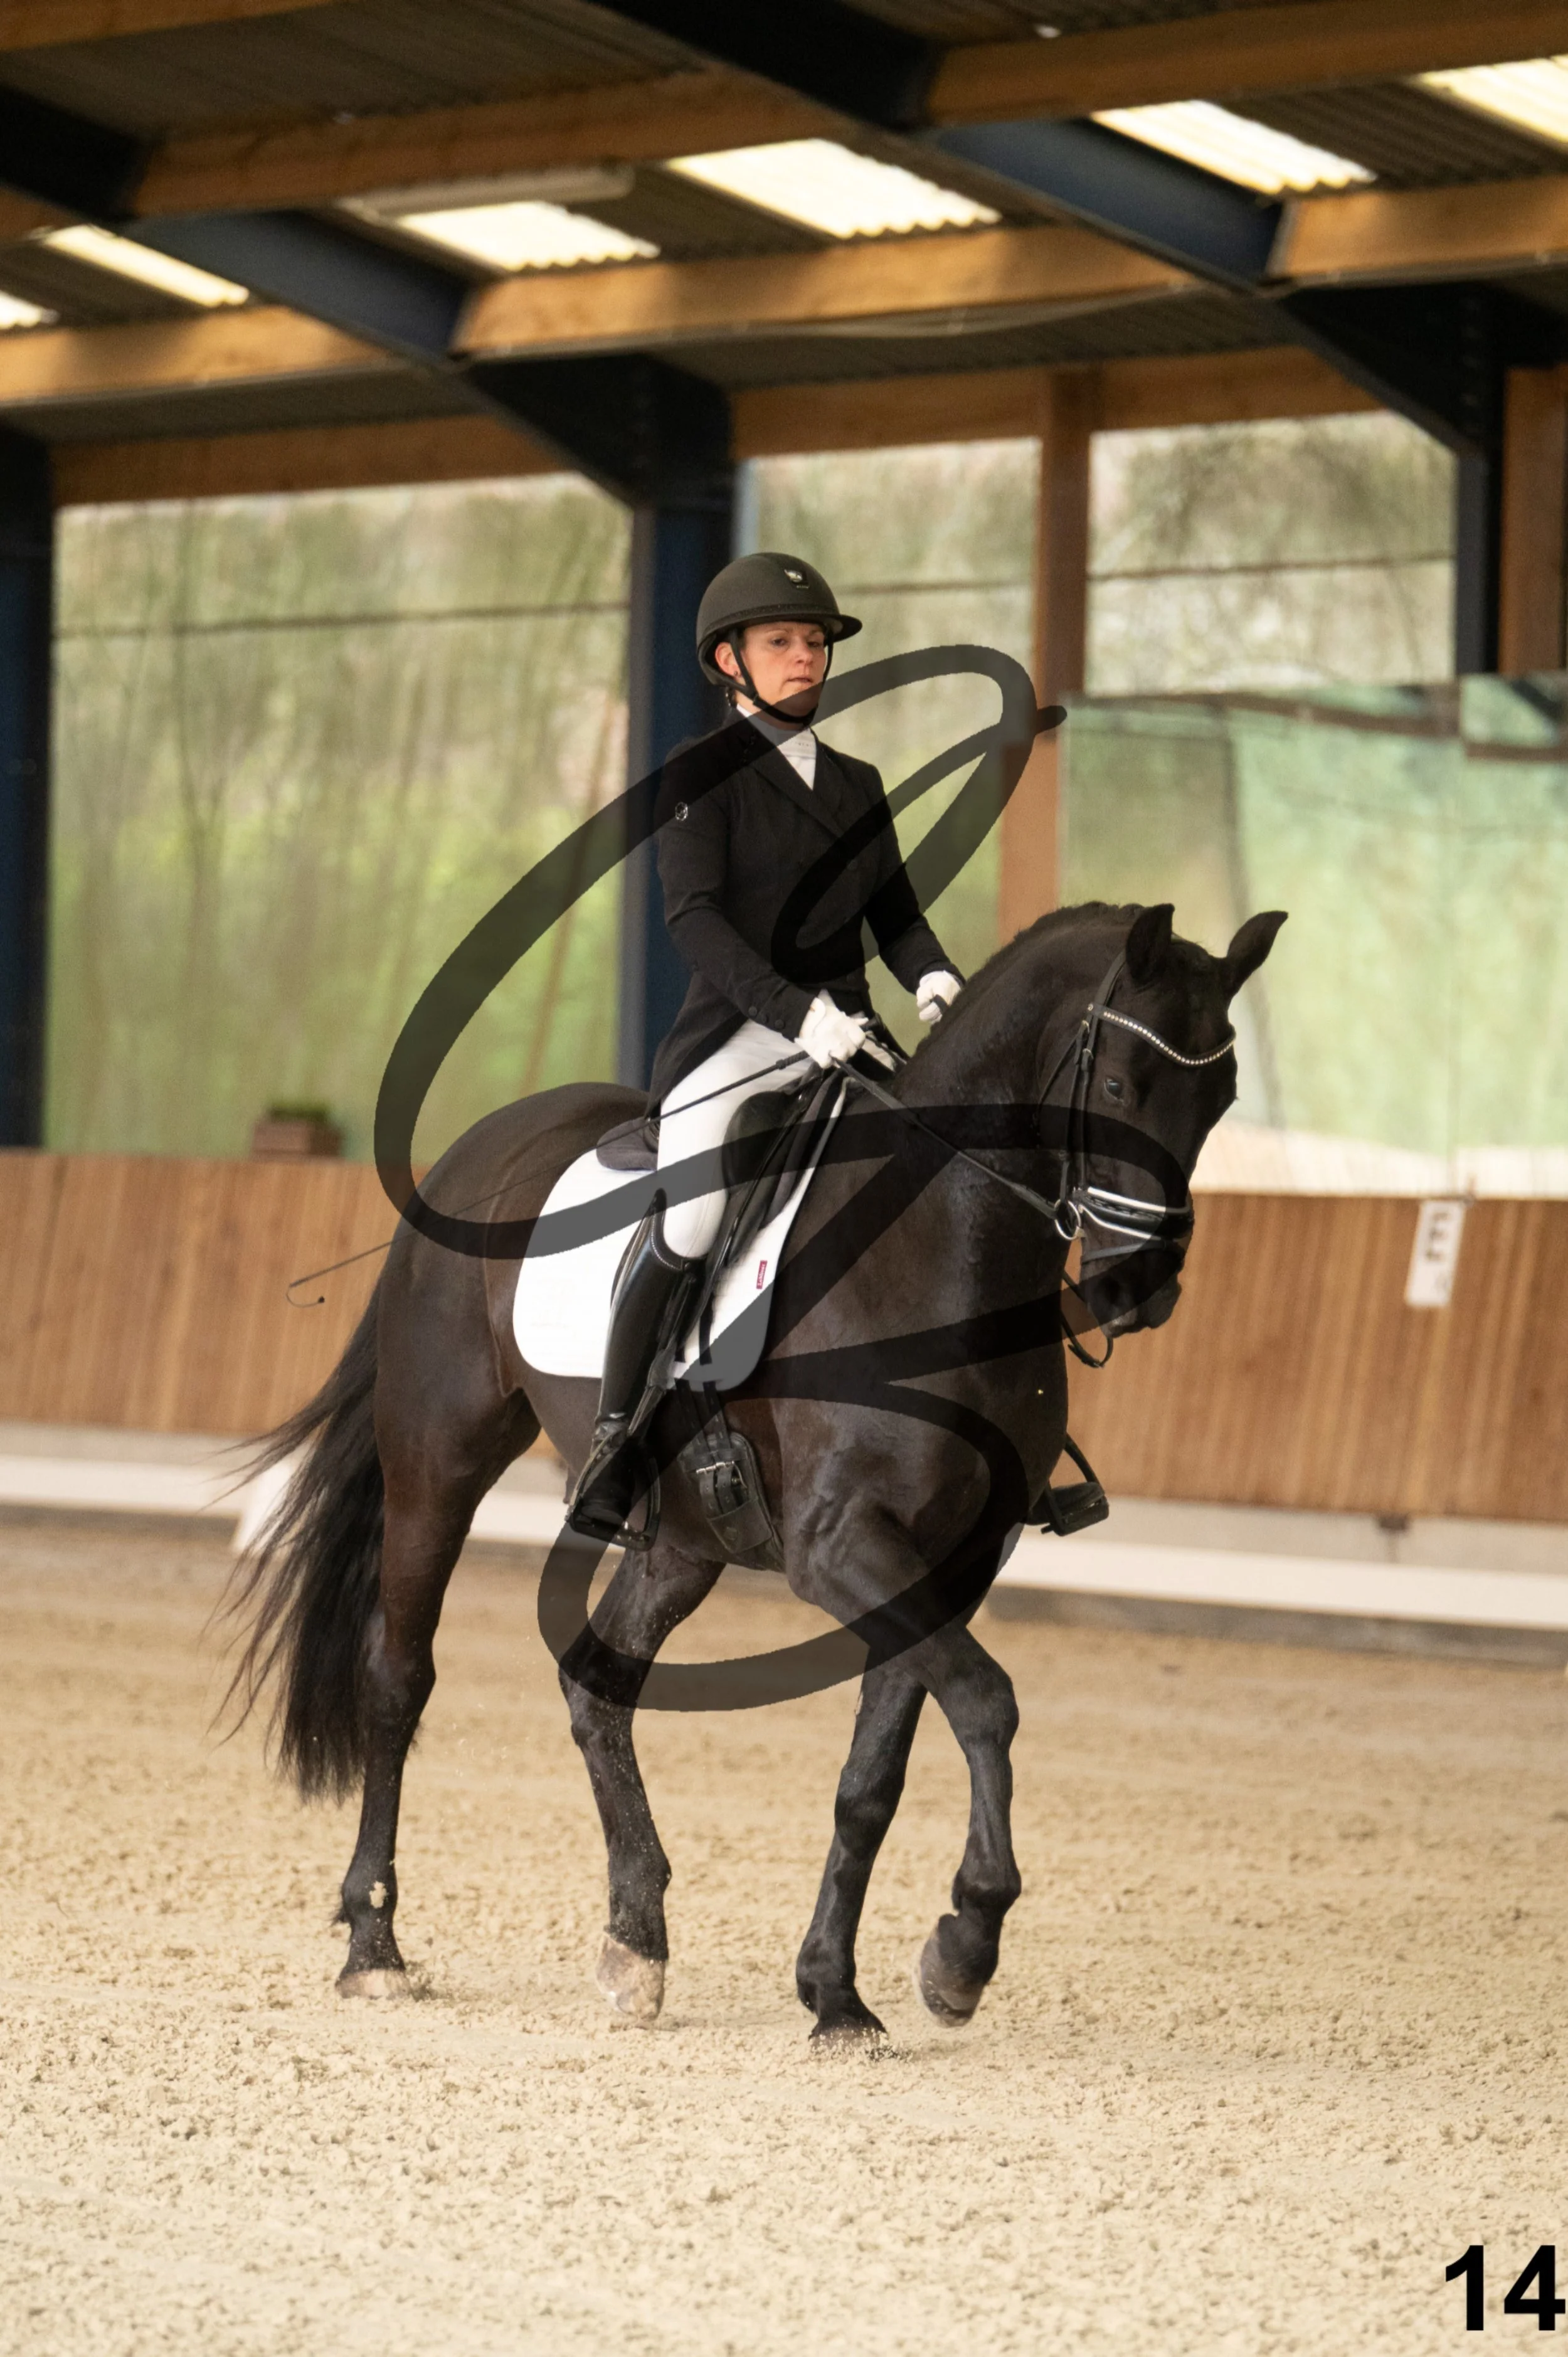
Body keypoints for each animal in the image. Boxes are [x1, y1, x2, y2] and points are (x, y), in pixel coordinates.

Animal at [229, 897, 1284, 2039]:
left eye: (1221, 1098)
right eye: (1123, 1087)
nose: (1140, 1288)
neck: (939, 1246)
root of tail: (477, 1151)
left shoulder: (949, 1554)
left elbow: (877, 1771)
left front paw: (838, 1992)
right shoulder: (842, 1546)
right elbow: (987, 1699)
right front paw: (964, 1943)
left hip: (683, 1537)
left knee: (596, 1680)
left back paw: (636, 1940)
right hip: (439, 1461)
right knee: (399, 1676)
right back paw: (374, 1940)